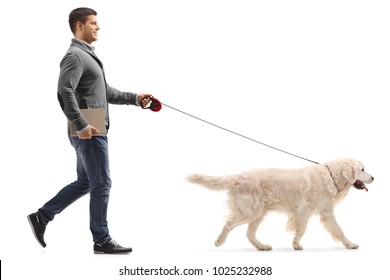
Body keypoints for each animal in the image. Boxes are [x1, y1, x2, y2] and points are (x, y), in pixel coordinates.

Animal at [187, 159, 374, 250]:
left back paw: (262, 247)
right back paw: (219, 241)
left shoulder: (326, 212)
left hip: (259, 213)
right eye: (362, 169)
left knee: (249, 234)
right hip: (251, 211)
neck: (329, 176)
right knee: (228, 224)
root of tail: (238, 177)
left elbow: (339, 231)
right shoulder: (304, 211)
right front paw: (296, 244)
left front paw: (350, 244)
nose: (373, 177)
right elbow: (302, 229)